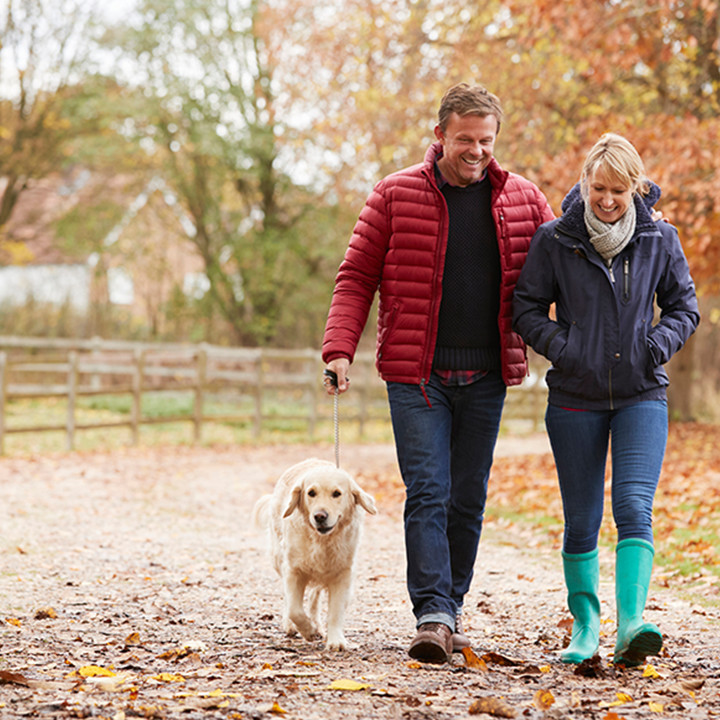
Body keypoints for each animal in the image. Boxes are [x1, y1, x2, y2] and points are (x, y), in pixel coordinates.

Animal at [253, 462, 376, 652]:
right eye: (311, 493)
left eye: (336, 493)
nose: (320, 516)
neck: (322, 540)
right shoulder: (293, 570)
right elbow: (294, 609)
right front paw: (308, 631)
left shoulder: (343, 574)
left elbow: (335, 612)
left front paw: (335, 640)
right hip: (278, 559)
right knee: (289, 599)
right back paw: (292, 626)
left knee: (313, 597)